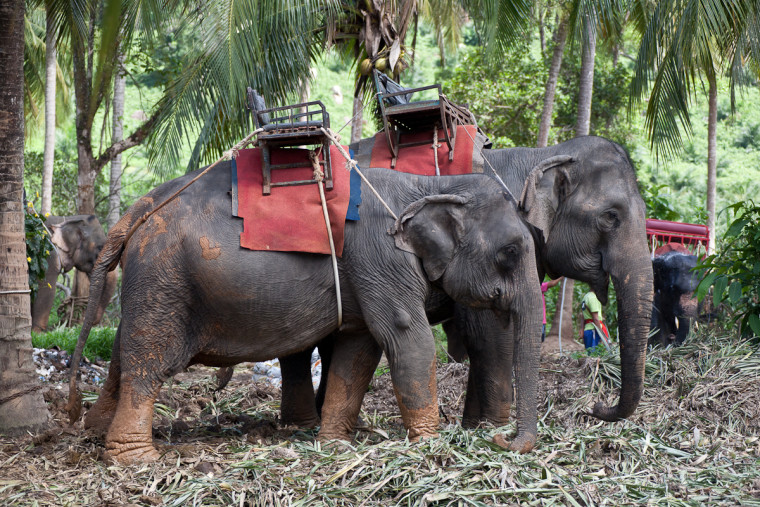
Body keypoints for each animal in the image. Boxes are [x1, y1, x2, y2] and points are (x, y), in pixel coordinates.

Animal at [65, 165, 540, 466]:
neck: (431, 183)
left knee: (121, 356)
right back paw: (137, 460)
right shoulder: (382, 258)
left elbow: (358, 351)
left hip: (152, 284)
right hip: (163, 279)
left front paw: (334, 446)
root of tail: (136, 212)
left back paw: (93, 433)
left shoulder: (365, 272)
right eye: (510, 252)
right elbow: (407, 337)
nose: (501, 438)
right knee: (148, 363)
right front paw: (433, 445)